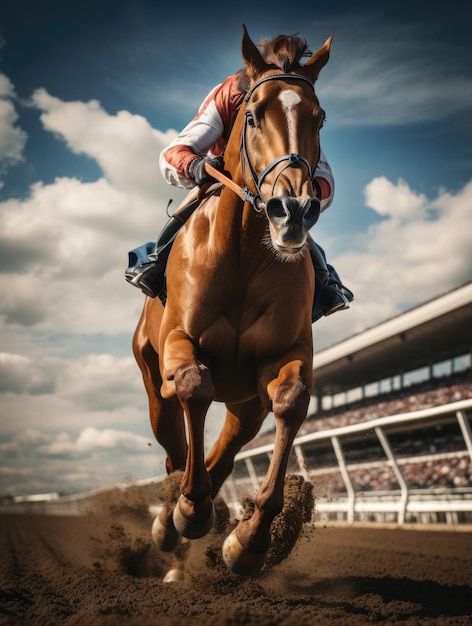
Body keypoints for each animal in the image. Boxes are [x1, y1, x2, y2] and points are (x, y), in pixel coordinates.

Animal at [133, 28, 332, 576]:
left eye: (319, 118)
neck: (244, 256)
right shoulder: (180, 342)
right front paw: (190, 511)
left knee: (223, 451)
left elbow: (292, 401)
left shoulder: (286, 354)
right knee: (175, 447)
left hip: (245, 402)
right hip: (153, 382)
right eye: (254, 115)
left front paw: (249, 539)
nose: (293, 210)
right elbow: (194, 385)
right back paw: (173, 517)